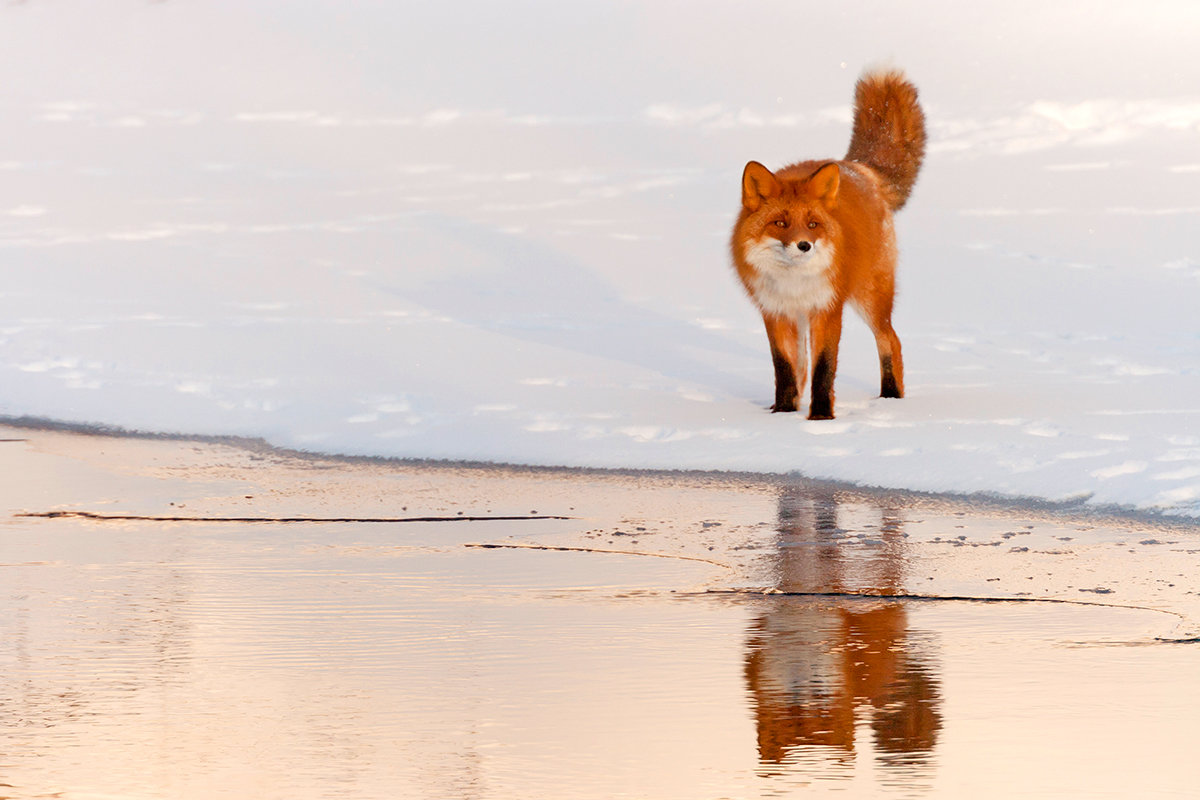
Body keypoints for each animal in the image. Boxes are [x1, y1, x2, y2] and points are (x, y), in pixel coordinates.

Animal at [729, 70, 926, 419]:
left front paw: (821, 418)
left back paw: (891, 398)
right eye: (780, 223)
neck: (794, 283)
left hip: (869, 297)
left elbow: (824, 368)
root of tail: (859, 168)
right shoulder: (776, 312)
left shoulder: (828, 309)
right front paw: (782, 414)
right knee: (801, 365)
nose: (804, 246)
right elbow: (785, 368)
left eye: (812, 224)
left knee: (891, 340)